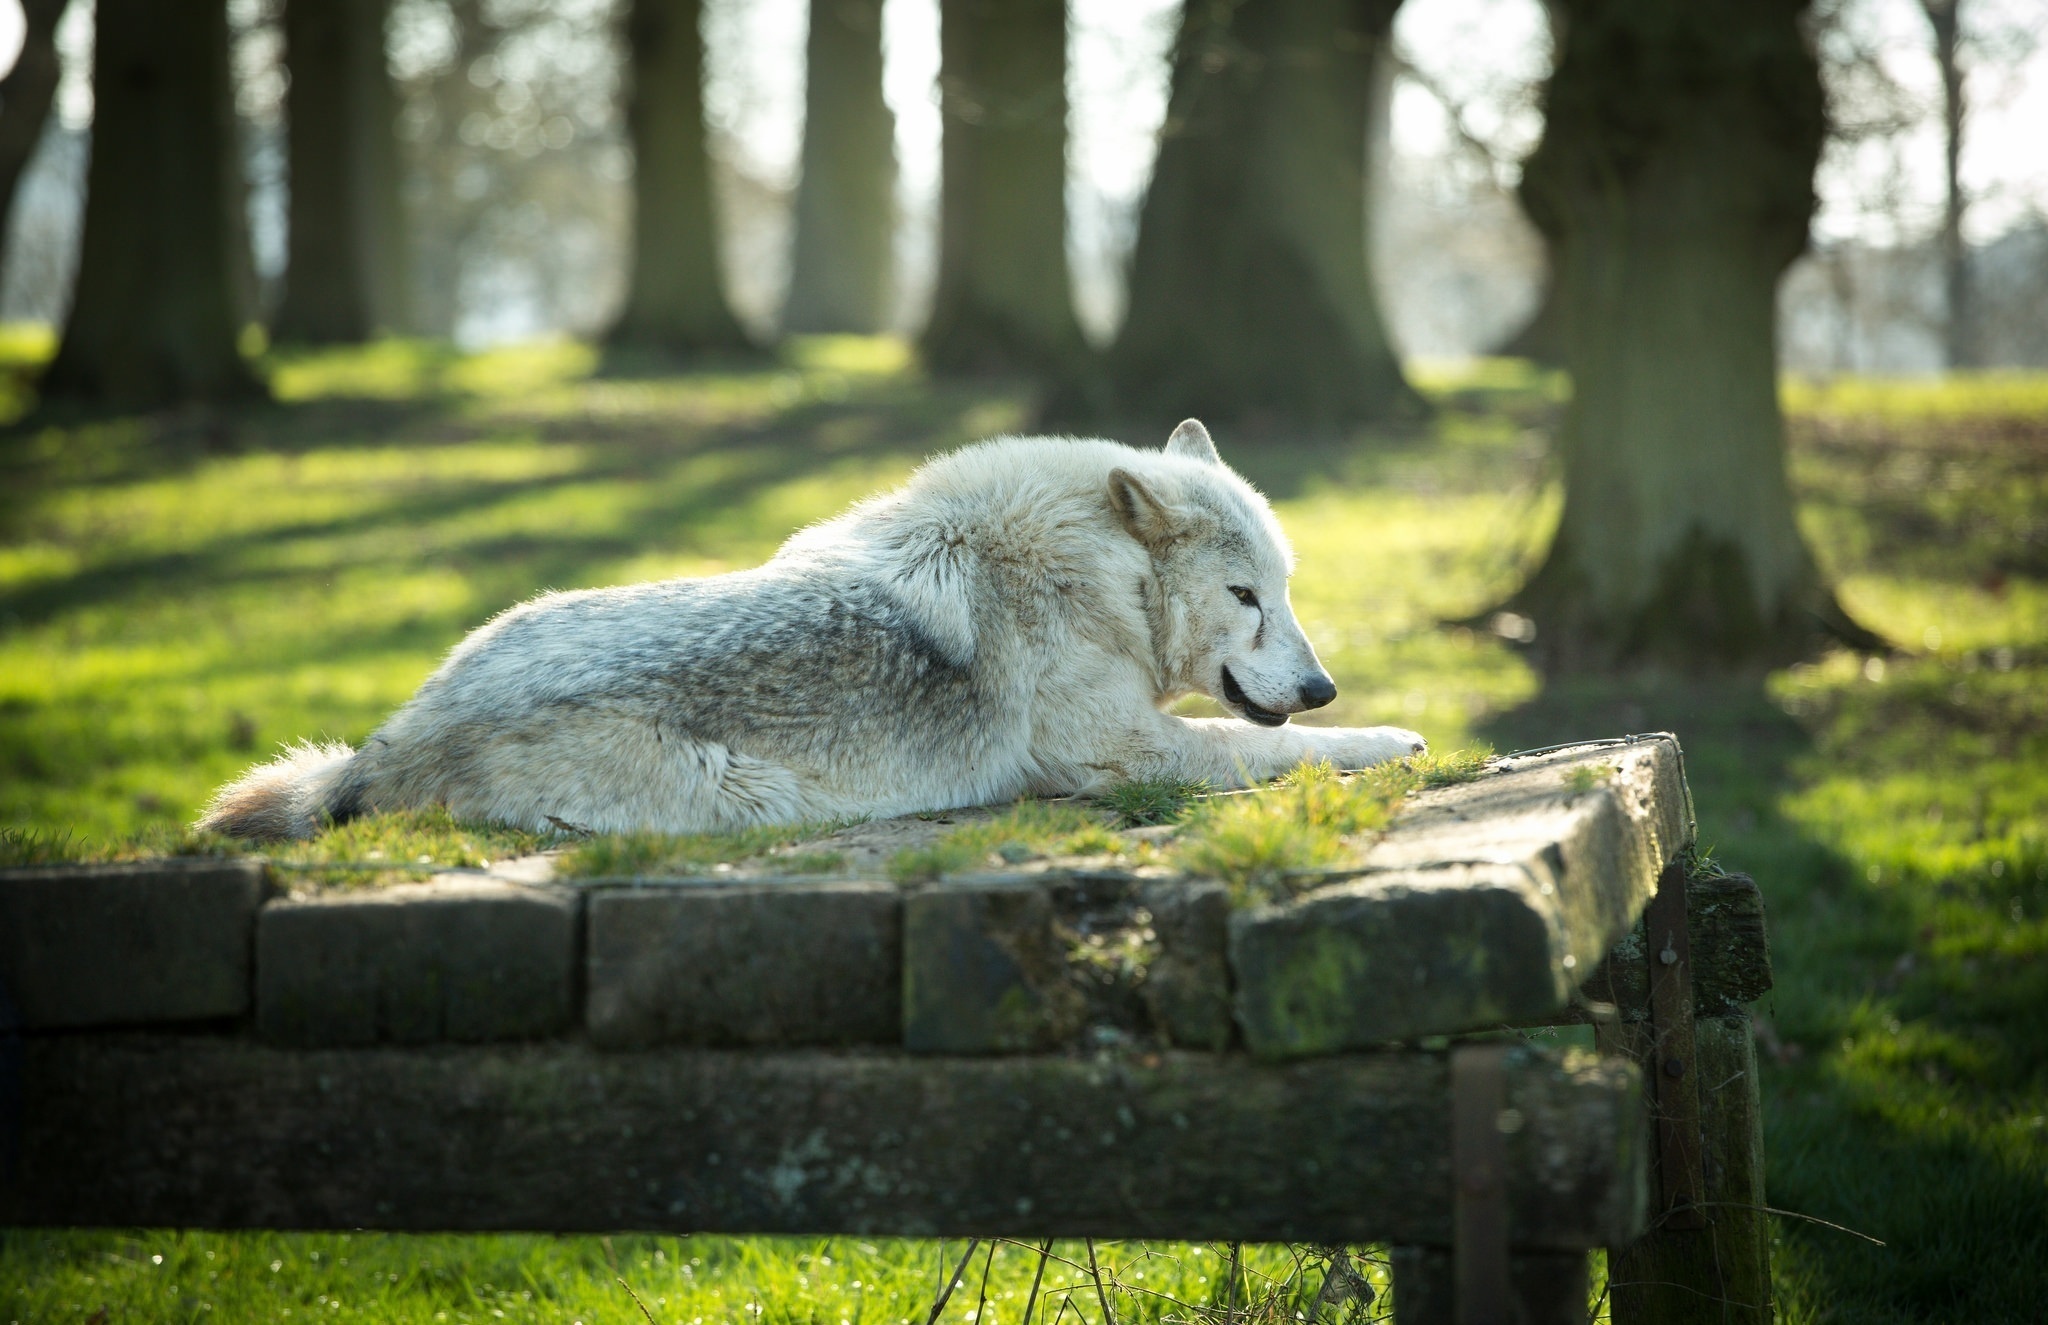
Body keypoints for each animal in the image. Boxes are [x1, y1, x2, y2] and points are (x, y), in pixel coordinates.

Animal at [203, 419, 1425, 843]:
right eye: (1245, 597)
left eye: (1287, 589)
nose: (1321, 683)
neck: (1096, 576)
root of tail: (388, 742)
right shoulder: (1125, 753)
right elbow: (1285, 749)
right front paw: (1389, 736)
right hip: (745, 795)